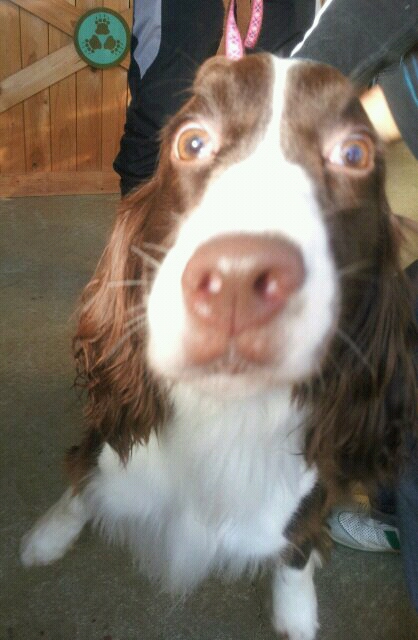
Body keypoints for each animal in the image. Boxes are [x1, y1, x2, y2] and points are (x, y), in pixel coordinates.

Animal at [21, 54, 417, 640]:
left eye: (355, 154)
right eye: (192, 142)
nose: (237, 278)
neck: (223, 417)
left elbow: (294, 551)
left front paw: (297, 613)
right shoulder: (113, 439)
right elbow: (82, 485)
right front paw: (45, 539)